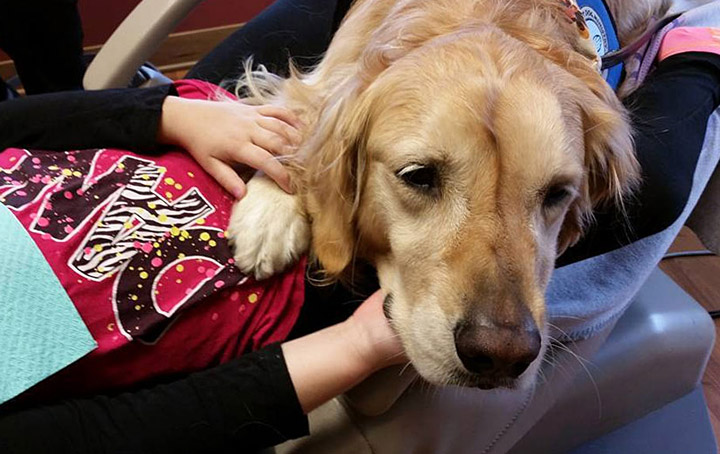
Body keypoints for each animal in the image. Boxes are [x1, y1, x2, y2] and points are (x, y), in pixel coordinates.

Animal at [226, 0, 676, 390]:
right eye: (418, 176)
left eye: (558, 193)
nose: (502, 355)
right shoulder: (332, 71)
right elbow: (294, 121)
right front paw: (268, 214)